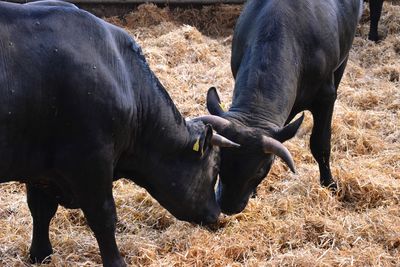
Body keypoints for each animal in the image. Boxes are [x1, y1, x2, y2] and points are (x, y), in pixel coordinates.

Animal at [0, 1, 239, 266]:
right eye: (215, 168)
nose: (217, 214)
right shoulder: (92, 161)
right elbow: (103, 216)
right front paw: (116, 261)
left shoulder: (40, 168)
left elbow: (41, 210)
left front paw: (40, 254)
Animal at [200, 0, 362, 215]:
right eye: (218, 159)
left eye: (260, 169)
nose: (228, 205)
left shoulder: (326, 97)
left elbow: (321, 144)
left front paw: (329, 184)